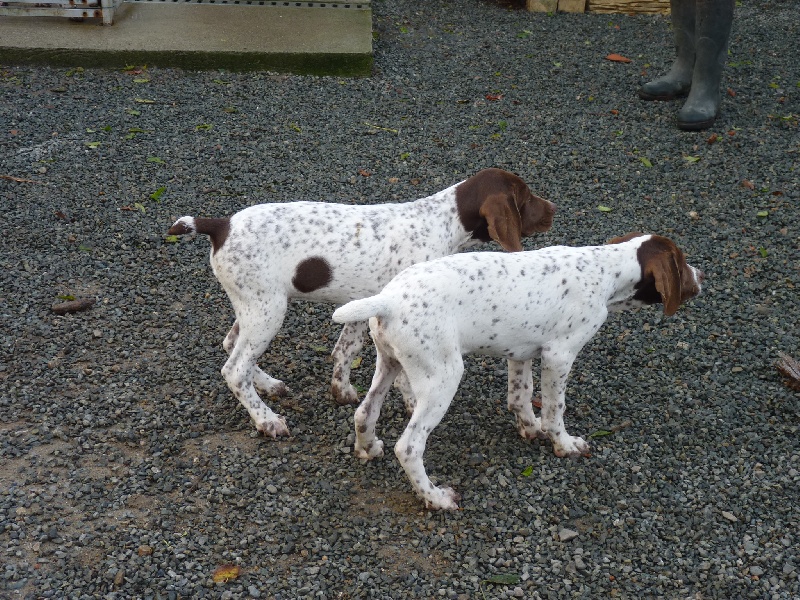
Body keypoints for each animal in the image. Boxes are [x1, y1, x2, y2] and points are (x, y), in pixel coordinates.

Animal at [167, 169, 556, 437]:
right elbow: (402, 377)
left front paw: (342, 390)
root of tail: (222, 224)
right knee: (234, 369)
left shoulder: (363, 306)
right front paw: (411, 402)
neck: (442, 222)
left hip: (254, 304)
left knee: (232, 344)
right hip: (267, 309)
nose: (554, 207)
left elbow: (345, 351)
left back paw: (267, 384)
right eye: (526, 198)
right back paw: (267, 420)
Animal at [332, 233, 704, 509]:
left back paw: (368, 448)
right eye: (682, 263)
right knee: (409, 447)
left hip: (389, 363)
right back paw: (435, 497)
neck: (603, 269)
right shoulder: (559, 355)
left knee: (364, 412)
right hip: (442, 378)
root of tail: (389, 299)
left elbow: (521, 397)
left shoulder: (520, 353)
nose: (702, 275)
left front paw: (529, 428)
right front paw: (563, 444)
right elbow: (555, 409)